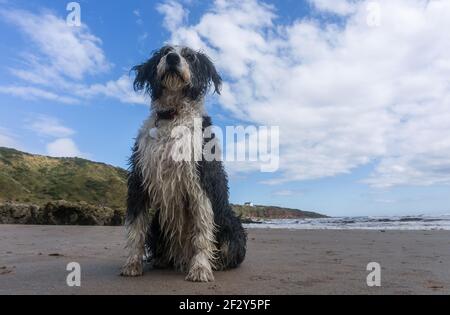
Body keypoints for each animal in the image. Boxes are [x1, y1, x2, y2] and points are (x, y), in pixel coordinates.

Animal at [120, 45, 246, 284]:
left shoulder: (200, 181)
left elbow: (202, 231)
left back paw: (216, 263)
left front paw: (200, 268)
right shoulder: (140, 179)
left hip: (230, 225)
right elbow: (135, 226)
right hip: (157, 223)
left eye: (190, 56)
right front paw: (131, 263)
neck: (172, 115)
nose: (172, 58)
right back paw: (161, 260)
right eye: (164, 51)